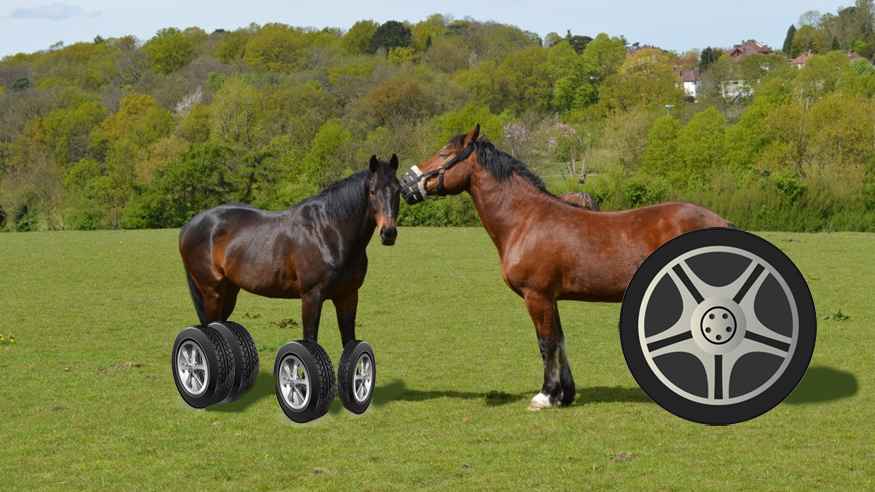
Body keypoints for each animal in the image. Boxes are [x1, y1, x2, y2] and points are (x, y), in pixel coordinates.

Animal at [180, 154, 400, 346]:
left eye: (398, 190)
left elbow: (349, 342)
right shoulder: (311, 297)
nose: (388, 233)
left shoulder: (348, 296)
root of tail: (189, 226)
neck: (329, 231)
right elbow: (310, 339)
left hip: (229, 291)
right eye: (372, 191)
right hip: (212, 292)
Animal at [399, 126, 731, 410]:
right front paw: (564, 395)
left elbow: (546, 343)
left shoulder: (537, 296)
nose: (404, 184)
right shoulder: (551, 298)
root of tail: (721, 221)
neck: (525, 220)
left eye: (444, 153)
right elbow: (560, 341)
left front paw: (545, 395)